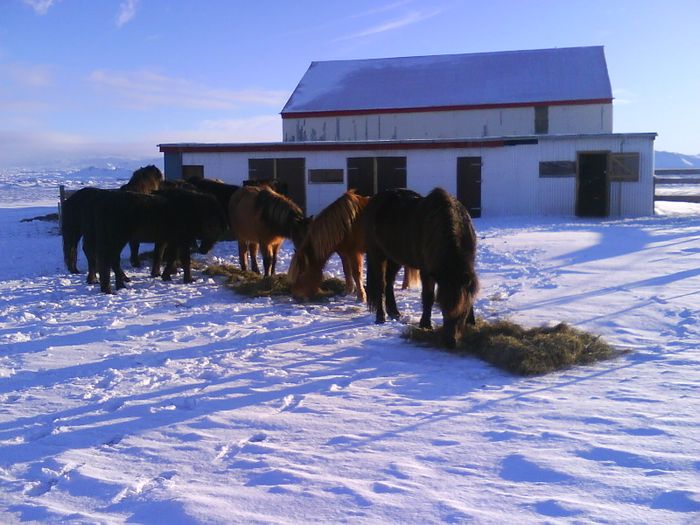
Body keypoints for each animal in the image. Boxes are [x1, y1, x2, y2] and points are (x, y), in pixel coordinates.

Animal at [92, 187, 227, 294]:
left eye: (217, 224)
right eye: (210, 223)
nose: (204, 250)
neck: (193, 211)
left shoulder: (172, 241)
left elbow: (170, 257)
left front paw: (165, 276)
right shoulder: (182, 240)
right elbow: (185, 259)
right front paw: (189, 280)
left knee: (111, 261)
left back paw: (117, 286)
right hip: (118, 240)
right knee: (110, 260)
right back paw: (112, 288)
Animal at [364, 187, 478, 348]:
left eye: (462, 311)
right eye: (442, 308)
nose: (450, 341)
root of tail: (374, 200)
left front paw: (472, 321)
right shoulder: (427, 270)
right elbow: (428, 296)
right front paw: (425, 324)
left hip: (395, 257)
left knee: (389, 282)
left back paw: (394, 312)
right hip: (377, 254)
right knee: (381, 284)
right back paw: (380, 317)